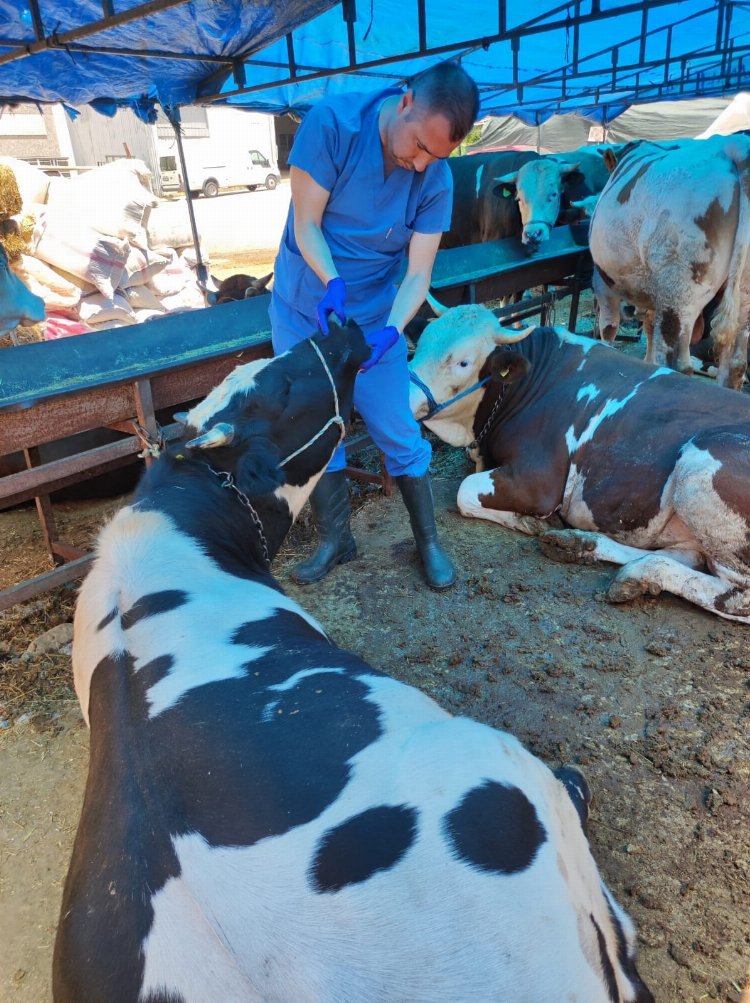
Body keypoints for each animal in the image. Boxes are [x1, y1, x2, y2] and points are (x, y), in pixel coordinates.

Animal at [411, 300, 750, 621]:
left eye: (463, 361)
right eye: (422, 344)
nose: (404, 395)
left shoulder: (539, 482)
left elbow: (464, 491)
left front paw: (530, 521)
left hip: (700, 467)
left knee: (734, 595)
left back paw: (639, 570)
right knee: (684, 554)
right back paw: (581, 546)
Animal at [589, 139, 749, 389]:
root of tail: (735, 146)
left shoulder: (602, 282)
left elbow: (608, 327)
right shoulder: (655, 294)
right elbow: (648, 326)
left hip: (679, 292)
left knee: (678, 364)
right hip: (742, 295)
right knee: (735, 363)